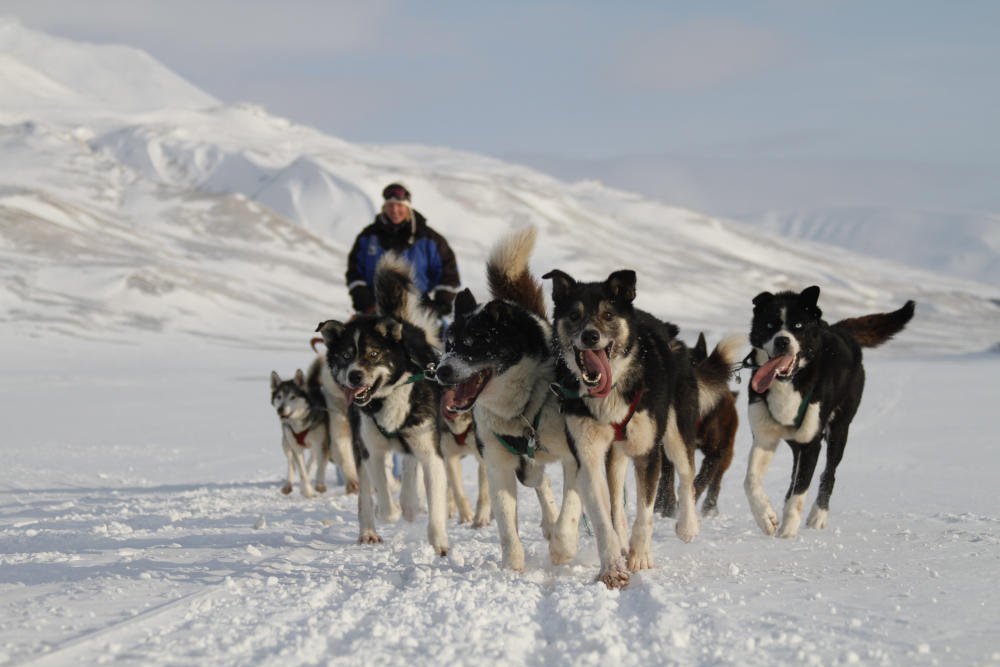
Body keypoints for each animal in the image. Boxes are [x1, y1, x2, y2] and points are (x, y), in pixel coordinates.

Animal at [316, 256, 450, 560]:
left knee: (410, 465)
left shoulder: (431, 453)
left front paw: (440, 542)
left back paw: (410, 504)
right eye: (345, 355)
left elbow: (435, 503)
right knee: (366, 493)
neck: (388, 398)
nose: (354, 376)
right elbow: (384, 498)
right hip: (359, 446)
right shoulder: (372, 451)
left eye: (373, 354)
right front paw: (388, 511)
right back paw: (369, 530)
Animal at [434, 227, 584, 576]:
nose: (440, 371)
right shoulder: (498, 465)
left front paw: (562, 548)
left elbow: (570, 511)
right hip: (525, 467)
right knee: (541, 481)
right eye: (449, 344)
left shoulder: (576, 456)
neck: (522, 407)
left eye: (473, 344)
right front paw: (512, 568)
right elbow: (506, 527)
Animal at [540, 268, 744, 588]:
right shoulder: (588, 455)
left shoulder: (648, 453)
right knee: (616, 505)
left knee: (686, 477)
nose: (590, 335)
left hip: (677, 432)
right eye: (574, 315)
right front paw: (611, 568)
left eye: (608, 314)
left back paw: (687, 525)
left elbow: (645, 513)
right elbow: (603, 519)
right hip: (615, 455)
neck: (610, 391)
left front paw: (640, 558)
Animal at [744, 288, 916, 536]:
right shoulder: (764, 437)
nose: (782, 341)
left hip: (838, 431)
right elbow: (750, 481)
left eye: (798, 325)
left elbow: (800, 493)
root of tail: (840, 329)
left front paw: (787, 533)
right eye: (769, 325)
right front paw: (766, 516)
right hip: (799, 442)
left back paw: (818, 515)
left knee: (829, 473)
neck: (790, 382)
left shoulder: (811, 443)